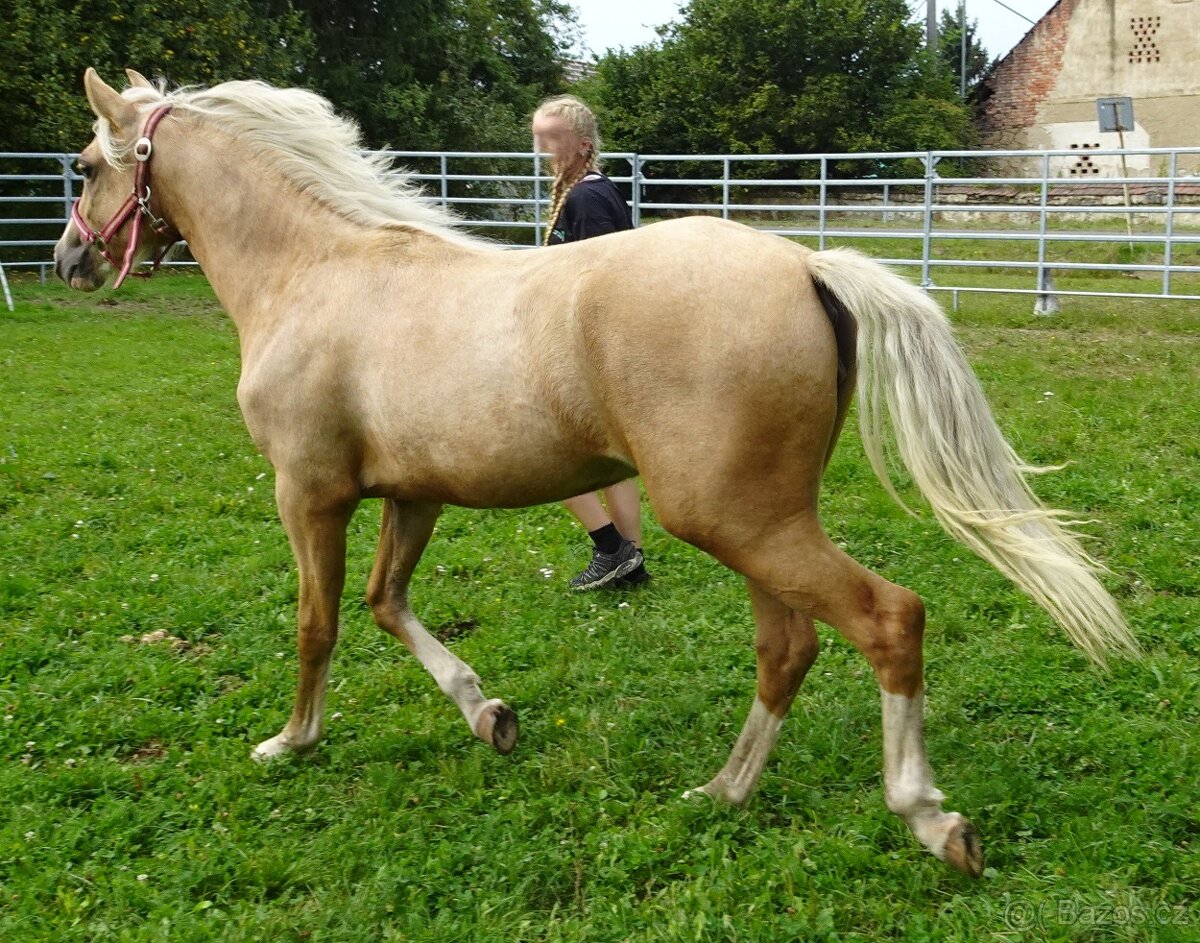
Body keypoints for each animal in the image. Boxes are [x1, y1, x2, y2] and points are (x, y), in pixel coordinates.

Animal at [55, 68, 1139, 877]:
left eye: (86, 164)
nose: (69, 259)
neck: (315, 269)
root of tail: (803, 265)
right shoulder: (414, 496)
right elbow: (386, 604)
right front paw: (489, 715)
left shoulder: (308, 494)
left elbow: (318, 622)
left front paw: (292, 741)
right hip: (757, 519)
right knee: (788, 647)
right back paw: (721, 792)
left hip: (736, 518)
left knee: (888, 618)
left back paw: (931, 820)